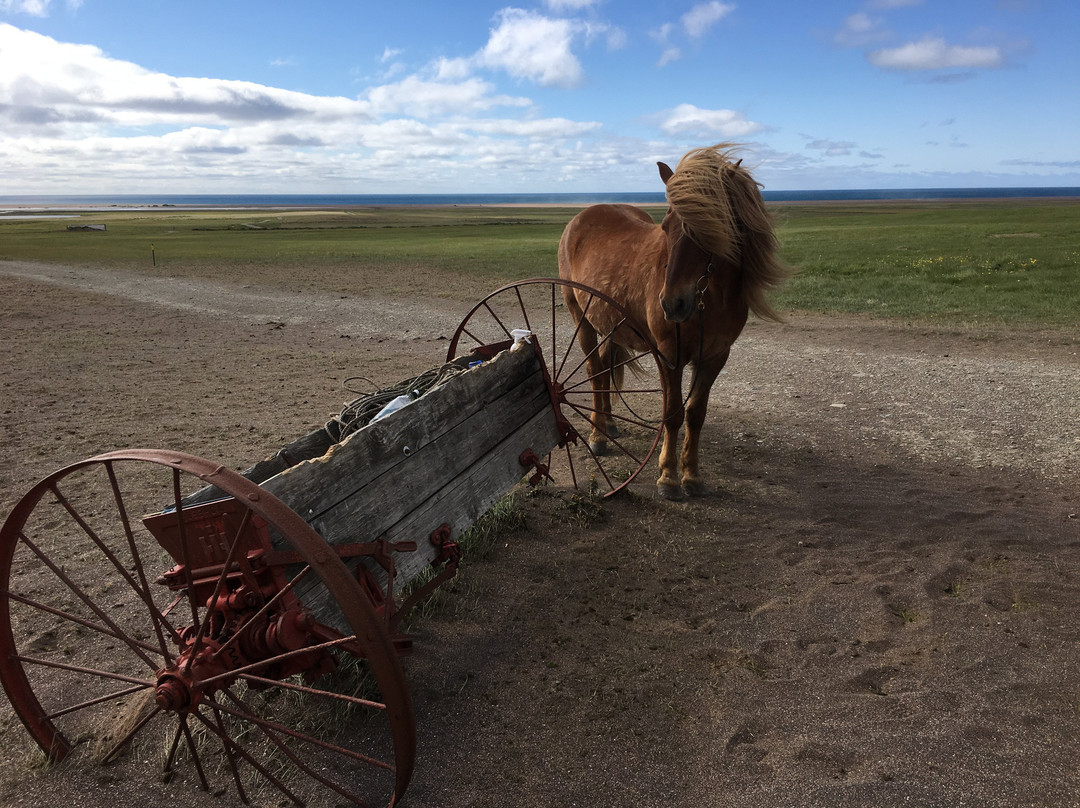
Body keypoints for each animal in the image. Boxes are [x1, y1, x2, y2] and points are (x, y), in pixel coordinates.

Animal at [557, 143, 790, 500]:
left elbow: (695, 414)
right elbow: (672, 414)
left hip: (611, 325)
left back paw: (608, 424)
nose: (671, 303)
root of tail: (581, 218)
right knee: (595, 370)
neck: (709, 301)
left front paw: (691, 475)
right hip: (581, 319)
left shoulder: (714, 357)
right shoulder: (669, 355)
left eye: (712, 225)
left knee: (606, 368)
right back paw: (597, 436)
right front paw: (667, 476)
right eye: (667, 226)